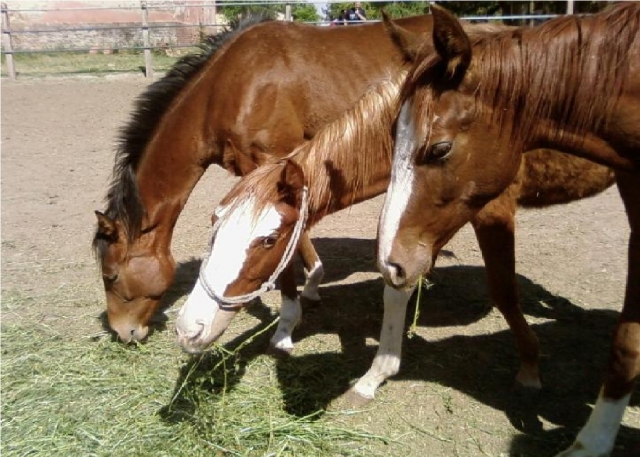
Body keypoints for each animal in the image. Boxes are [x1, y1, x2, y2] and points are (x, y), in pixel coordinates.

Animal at [92, 13, 445, 342]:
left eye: (111, 276)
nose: (124, 332)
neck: (229, 86)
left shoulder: (273, 163)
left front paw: (288, 319)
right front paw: (313, 283)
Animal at [175, 65, 615, 405]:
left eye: (268, 240)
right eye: (214, 226)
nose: (187, 329)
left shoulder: (492, 212)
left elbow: (502, 291)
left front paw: (530, 367)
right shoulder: (421, 223)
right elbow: (398, 281)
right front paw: (375, 374)